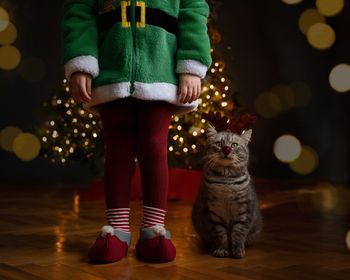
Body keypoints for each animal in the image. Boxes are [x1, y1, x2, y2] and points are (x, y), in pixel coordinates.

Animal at [191, 122, 262, 258]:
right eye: (219, 144)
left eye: (234, 145)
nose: (226, 149)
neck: (226, 182)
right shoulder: (212, 211)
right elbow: (221, 234)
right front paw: (221, 249)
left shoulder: (245, 209)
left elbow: (239, 233)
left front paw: (237, 250)